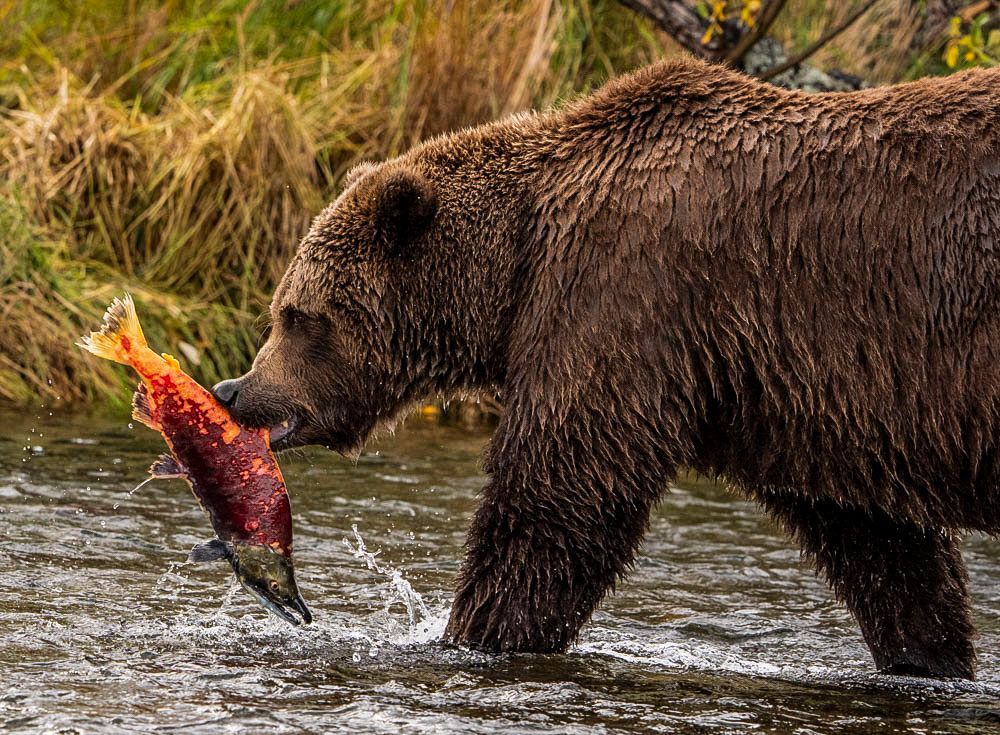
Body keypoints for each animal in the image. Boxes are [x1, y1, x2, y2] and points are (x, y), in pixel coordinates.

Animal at [212, 57, 1000, 679]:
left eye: (297, 313)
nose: (235, 389)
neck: (519, 265)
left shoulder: (629, 301)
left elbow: (559, 494)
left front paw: (473, 634)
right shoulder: (811, 396)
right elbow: (879, 540)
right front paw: (929, 656)